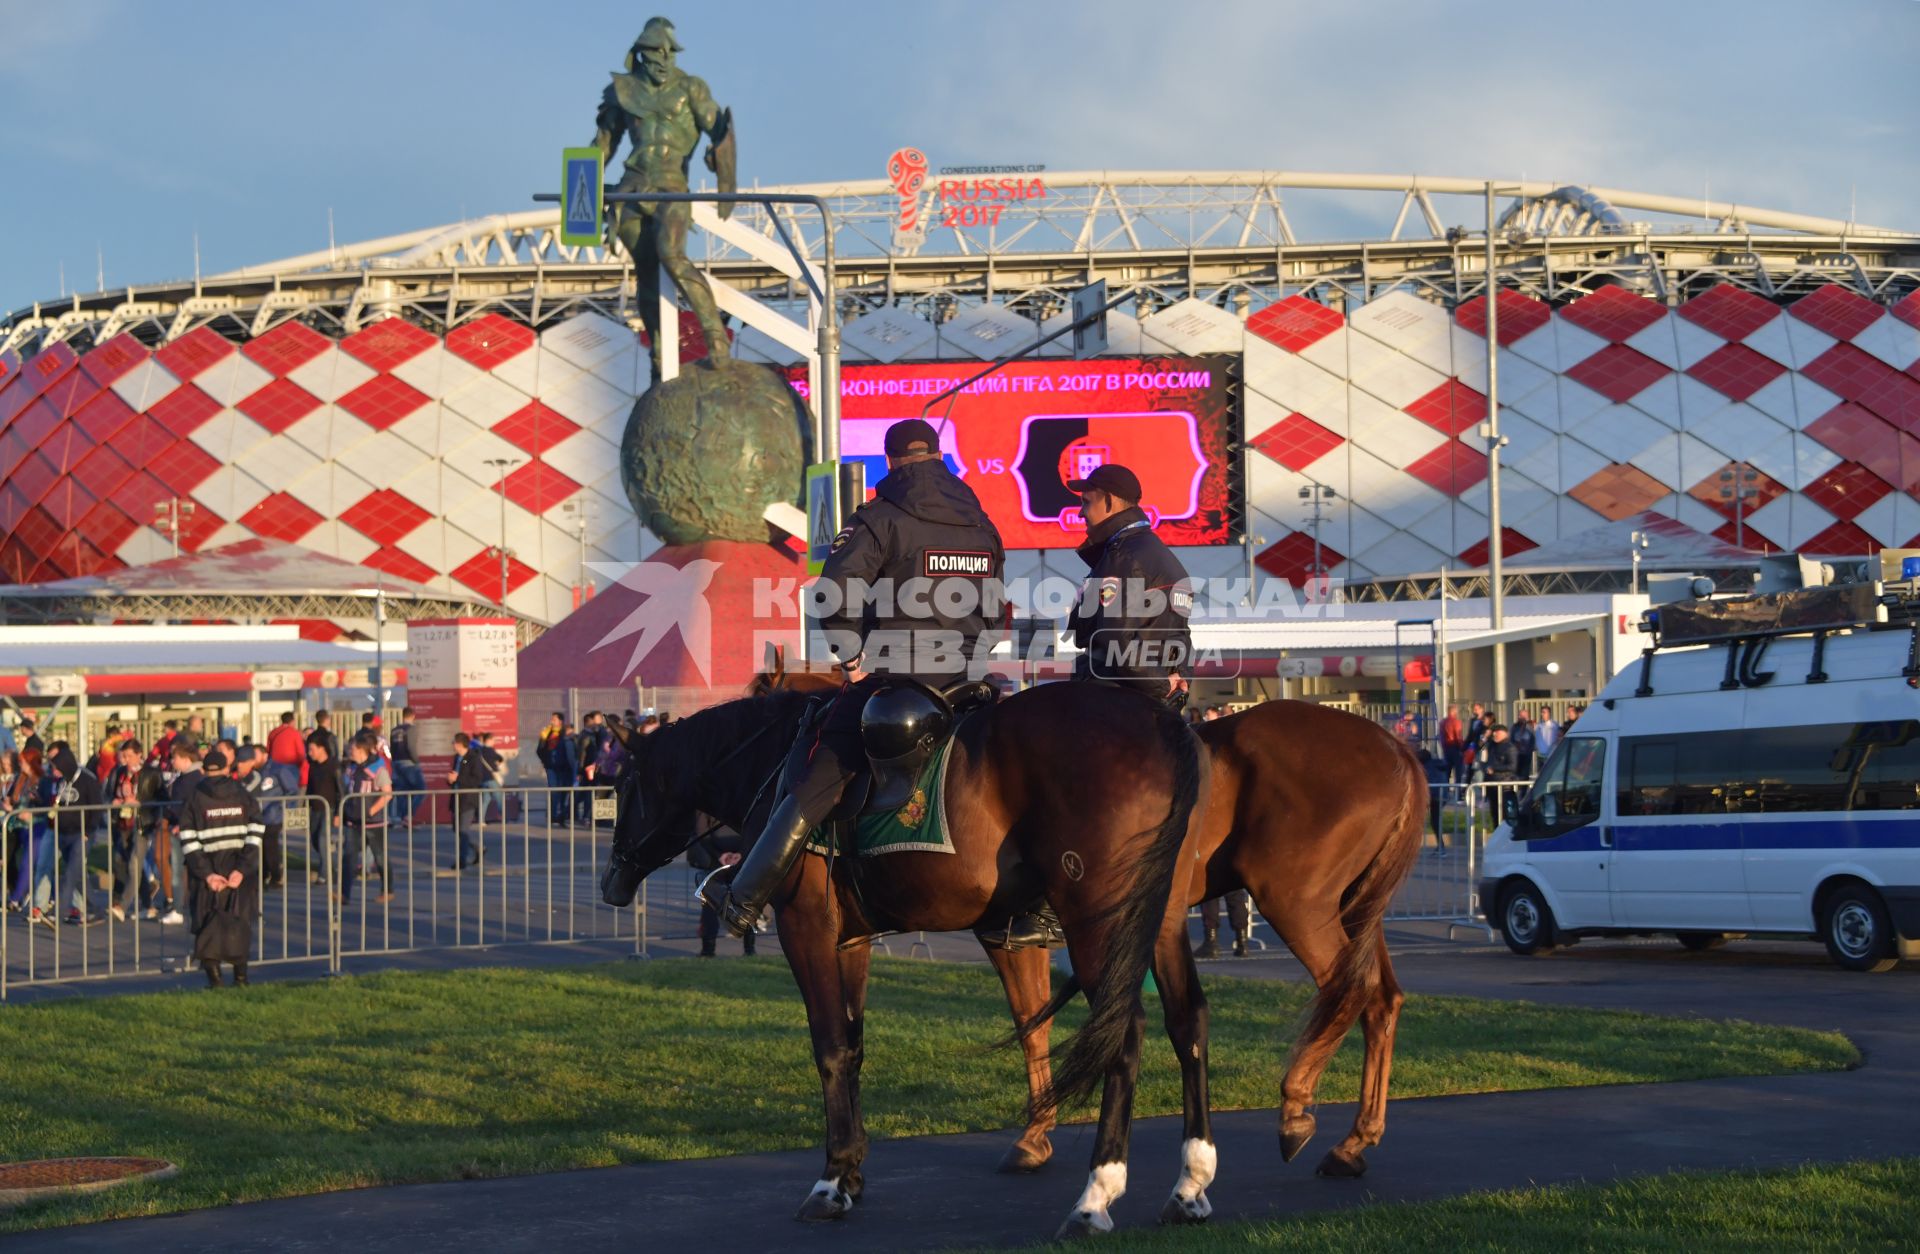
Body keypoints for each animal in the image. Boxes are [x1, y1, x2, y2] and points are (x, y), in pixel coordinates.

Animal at [599, 679, 1205, 1236]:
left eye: (625, 784)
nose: (611, 882)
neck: (771, 760)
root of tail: (1160, 720)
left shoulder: (806, 929)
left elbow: (830, 1048)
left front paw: (830, 1182)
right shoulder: (850, 942)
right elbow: (854, 1049)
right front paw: (852, 1173)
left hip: (1099, 919)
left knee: (1124, 1033)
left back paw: (1095, 1197)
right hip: (1163, 920)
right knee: (1187, 1021)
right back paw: (1190, 1184)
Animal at [760, 656, 1428, 1190]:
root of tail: (1398, 748)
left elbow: (1032, 1023)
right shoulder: (1016, 936)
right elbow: (1032, 1024)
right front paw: (1035, 1136)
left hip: (1296, 903)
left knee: (1351, 990)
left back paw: (1296, 1107)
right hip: (1349, 911)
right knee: (1382, 999)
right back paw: (1353, 1140)